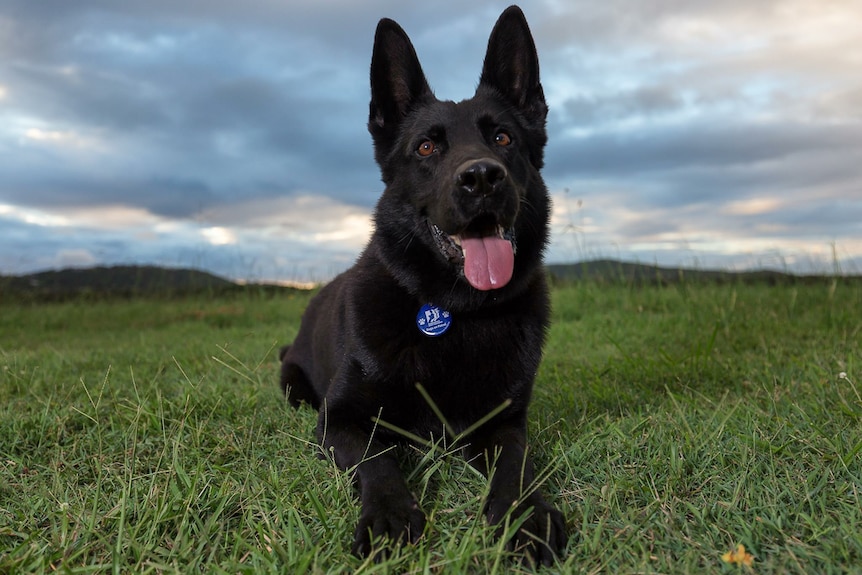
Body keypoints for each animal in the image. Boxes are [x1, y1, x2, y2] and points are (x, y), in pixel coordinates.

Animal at [280, 4, 572, 564]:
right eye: (427, 146)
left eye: (503, 138)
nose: (482, 177)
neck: (455, 312)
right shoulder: (340, 420)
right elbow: (379, 462)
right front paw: (390, 515)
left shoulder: (505, 423)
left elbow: (516, 468)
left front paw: (525, 517)